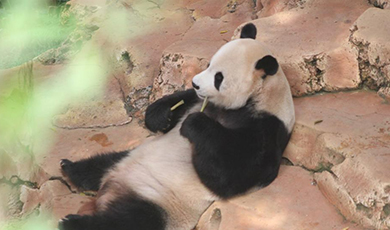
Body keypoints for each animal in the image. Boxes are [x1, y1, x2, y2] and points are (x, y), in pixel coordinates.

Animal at [58, 22, 296, 230]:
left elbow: (231, 175)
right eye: (209, 64)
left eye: (219, 78)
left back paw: (70, 222)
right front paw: (161, 118)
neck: (259, 97)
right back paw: (70, 168)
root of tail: (110, 189)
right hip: (129, 156)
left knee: (128, 221)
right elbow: (178, 100)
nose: (195, 83)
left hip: (161, 205)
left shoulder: (266, 128)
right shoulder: (198, 100)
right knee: (100, 163)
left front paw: (194, 124)